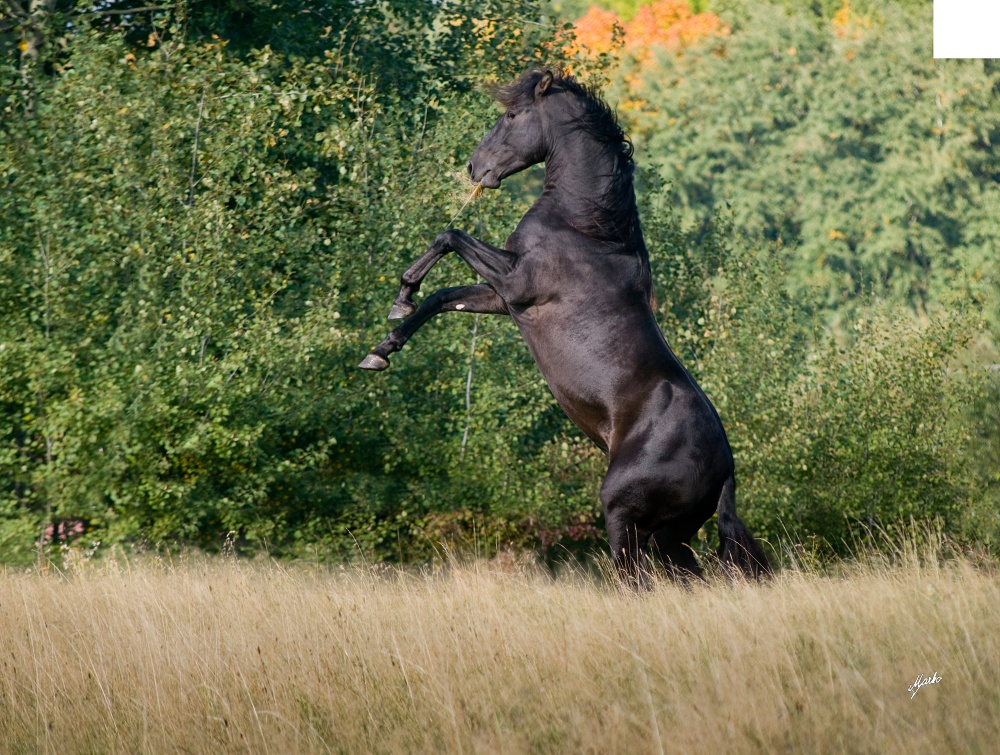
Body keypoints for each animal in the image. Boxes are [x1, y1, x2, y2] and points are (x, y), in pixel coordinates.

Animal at [362, 69, 772, 584]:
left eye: (512, 115)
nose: (474, 168)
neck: (582, 225)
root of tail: (726, 472)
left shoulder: (516, 282)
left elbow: (448, 236)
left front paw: (402, 295)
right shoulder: (504, 299)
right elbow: (441, 298)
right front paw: (384, 343)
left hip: (625, 516)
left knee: (634, 578)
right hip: (670, 537)